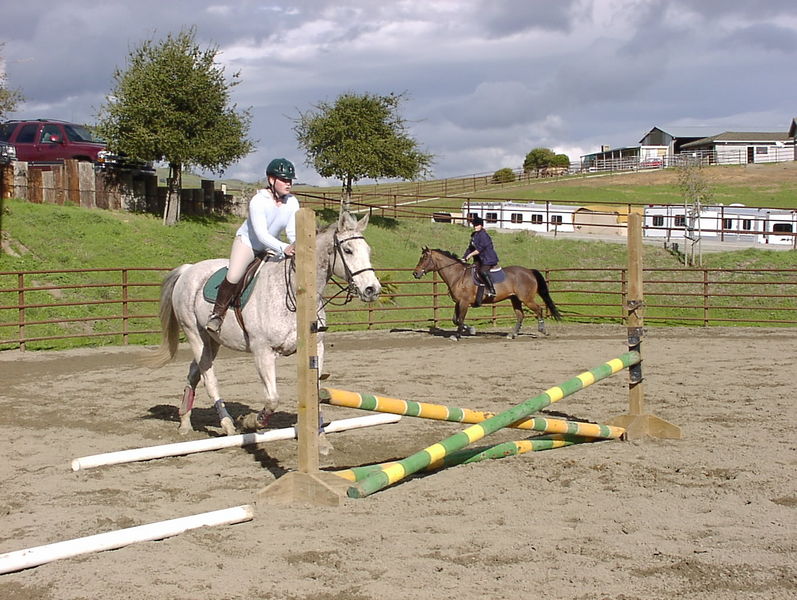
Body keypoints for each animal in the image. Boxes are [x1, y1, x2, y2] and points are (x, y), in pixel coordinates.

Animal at [146, 211, 381, 436]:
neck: (294, 292)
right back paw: (227, 424)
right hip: (195, 334)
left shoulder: (317, 348)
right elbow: (272, 398)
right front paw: (251, 422)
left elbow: (316, 390)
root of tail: (188, 270)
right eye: (348, 250)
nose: (372, 289)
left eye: (369, 251)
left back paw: (185, 423)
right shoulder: (263, 351)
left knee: (194, 374)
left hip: (212, 341)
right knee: (209, 378)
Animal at [412, 247, 561, 340]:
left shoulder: (464, 302)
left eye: (424, 259)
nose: (415, 273)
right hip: (515, 299)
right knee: (520, 315)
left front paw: (458, 336)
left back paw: (543, 330)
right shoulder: (458, 302)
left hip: (527, 299)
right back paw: (512, 334)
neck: (457, 275)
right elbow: (455, 319)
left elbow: (460, 319)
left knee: (539, 309)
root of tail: (529, 271)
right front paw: (470, 329)